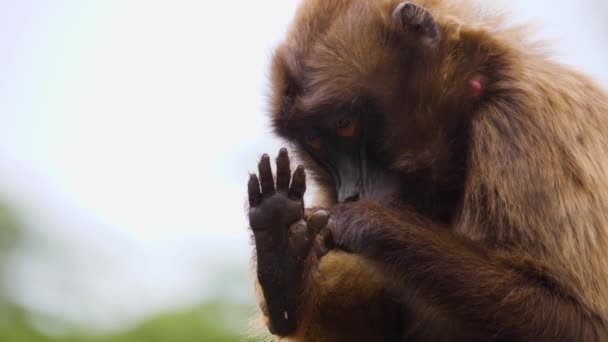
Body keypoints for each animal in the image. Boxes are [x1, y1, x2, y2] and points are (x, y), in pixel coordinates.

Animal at [246, 0, 608, 340]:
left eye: (344, 125)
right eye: (314, 141)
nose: (350, 194)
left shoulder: (522, 121)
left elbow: (586, 326)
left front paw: (362, 223)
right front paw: (283, 259)